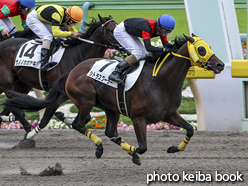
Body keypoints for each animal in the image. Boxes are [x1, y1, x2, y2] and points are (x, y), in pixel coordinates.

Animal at [2, 33, 225, 164]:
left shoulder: (169, 114)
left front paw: (172, 148)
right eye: (202, 49)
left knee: (109, 130)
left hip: (110, 107)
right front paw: (134, 153)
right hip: (85, 100)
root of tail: (74, 71)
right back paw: (97, 146)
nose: (220, 65)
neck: (159, 81)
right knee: (78, 123)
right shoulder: (138, 118)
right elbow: (142, 147)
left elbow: (189, 129)